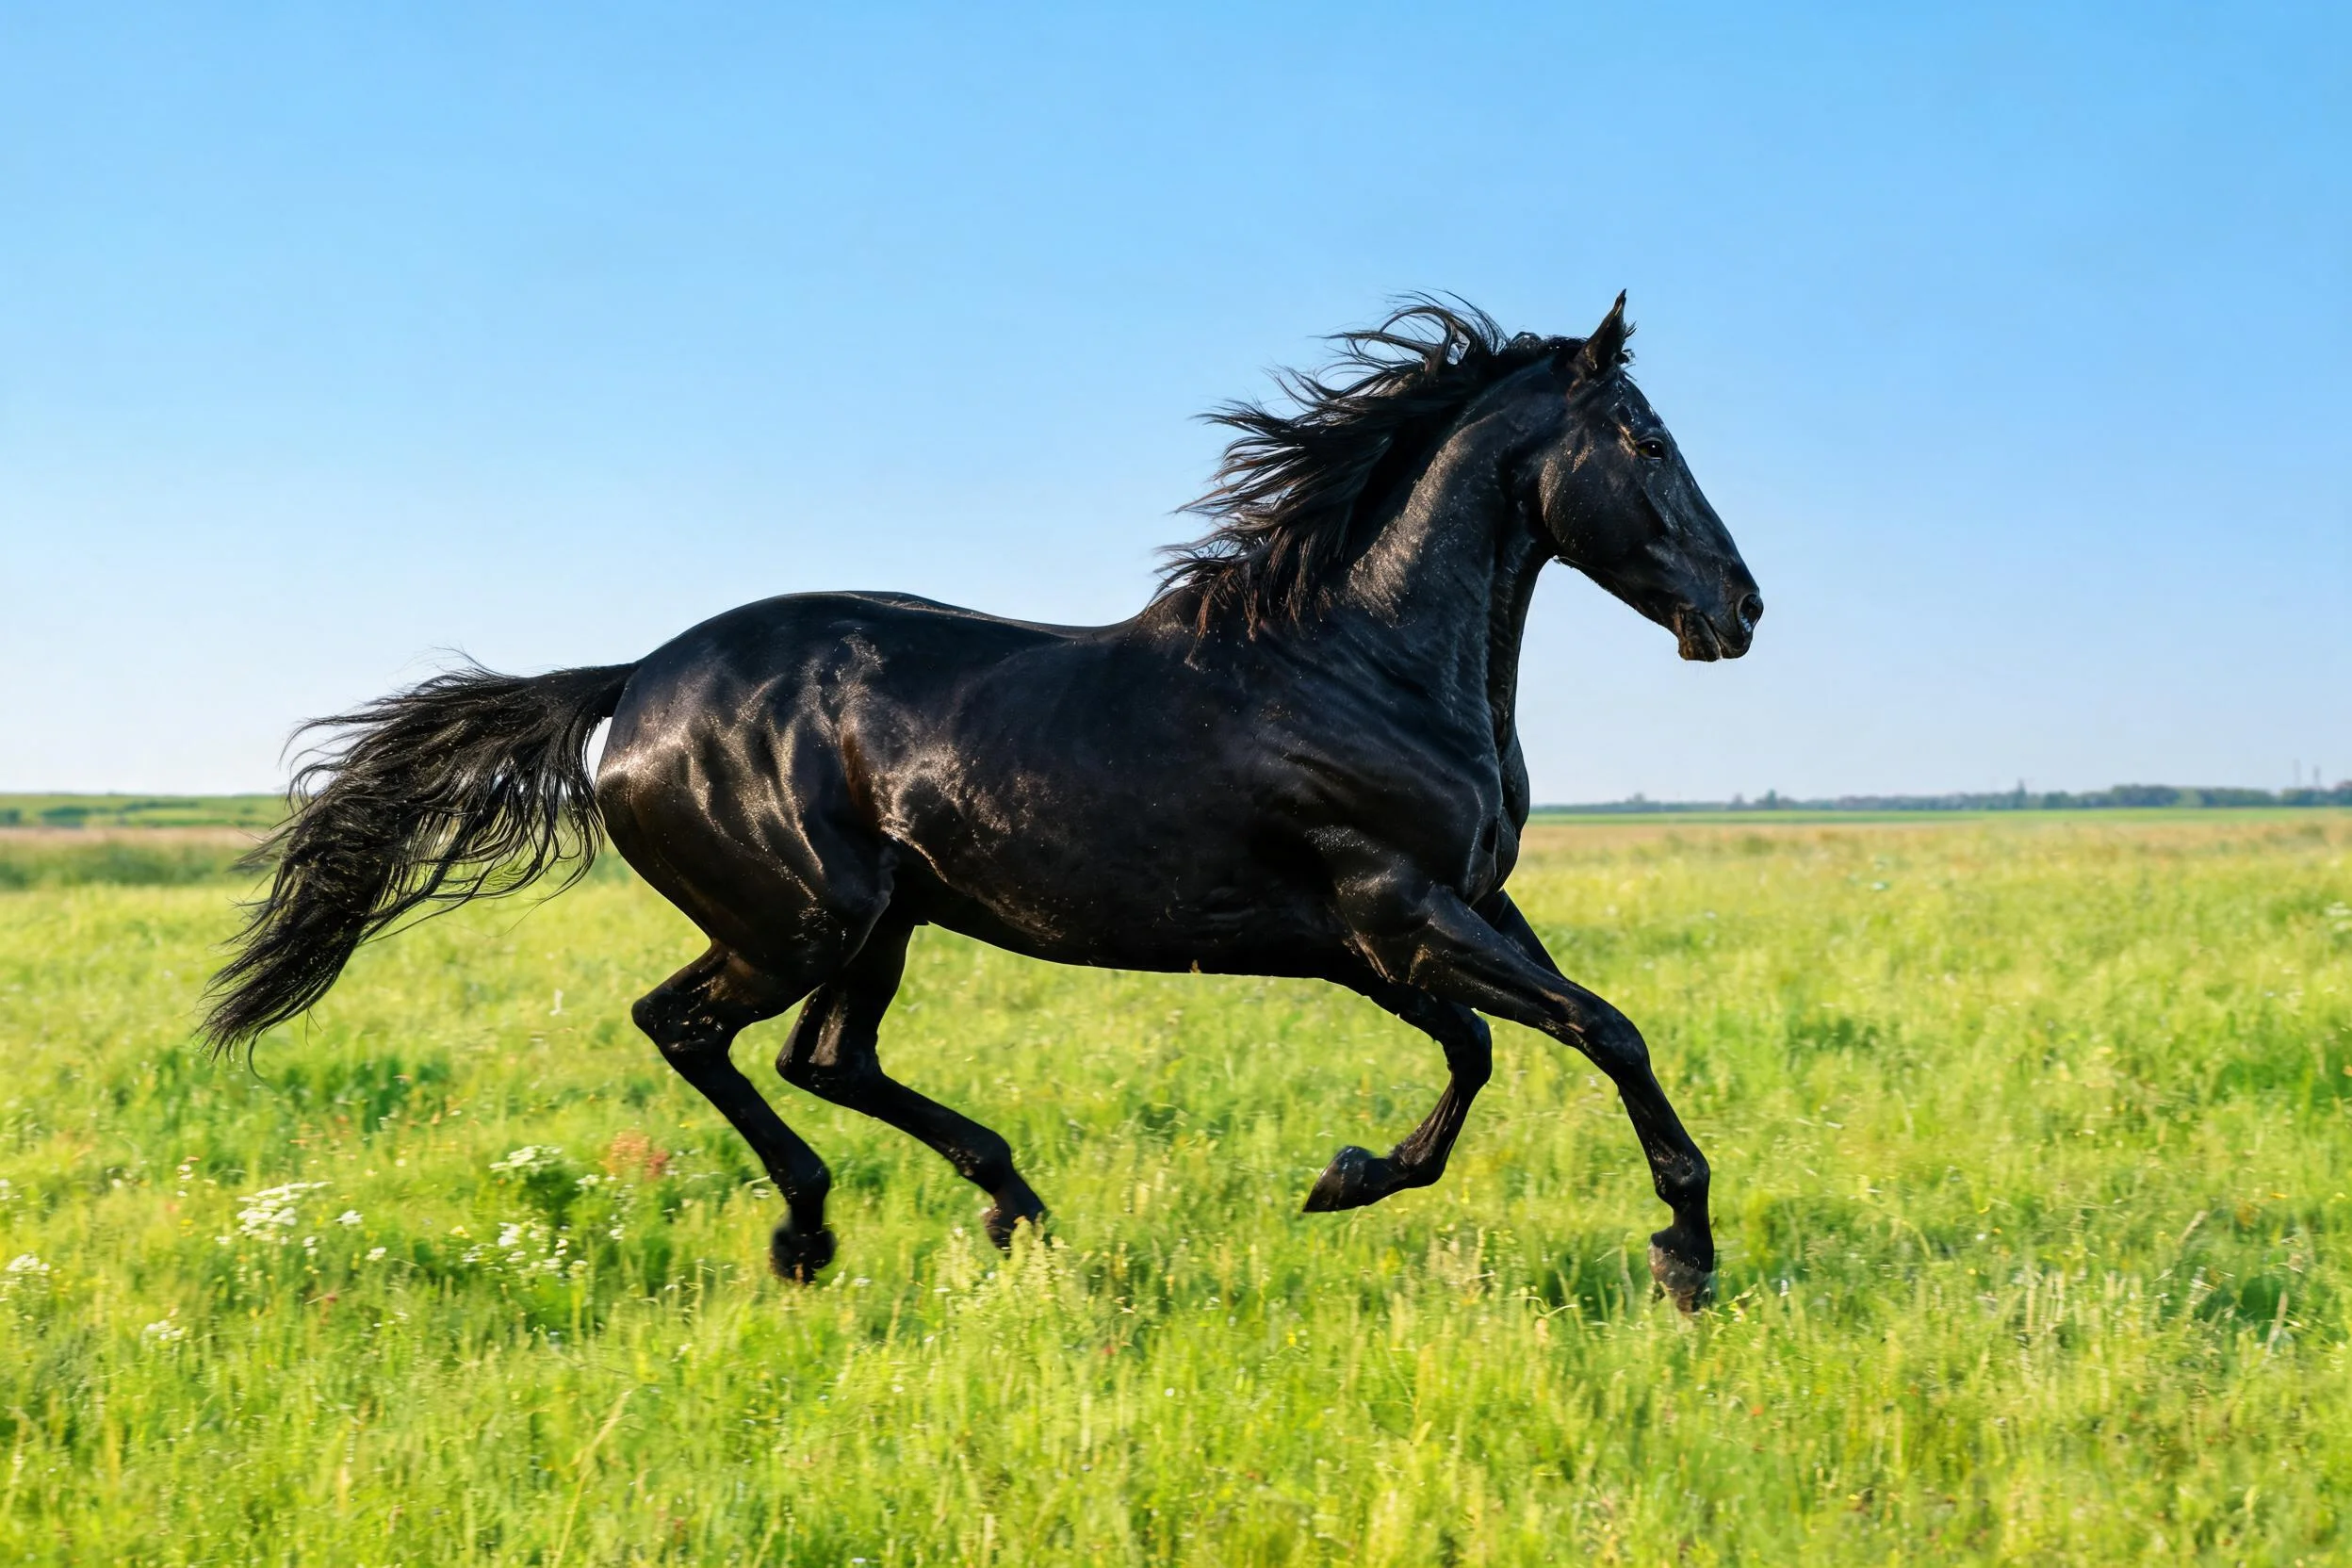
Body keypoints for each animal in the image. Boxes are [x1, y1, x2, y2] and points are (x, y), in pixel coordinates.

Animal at [204, 295, 1762, 1310]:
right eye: (1647, 441)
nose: (1740, 611)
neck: (1352, 662)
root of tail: (634, 683)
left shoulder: (1439, 916)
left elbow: (1499, 1049)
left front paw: (1347, 1176)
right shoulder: (1393, 916)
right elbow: (1593, 1034)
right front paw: (1682, 1258)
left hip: (883, 923)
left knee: (824, 1058)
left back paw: (1011, 1207)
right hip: (800, 920)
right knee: (690, 1028)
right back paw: (813, 1238)